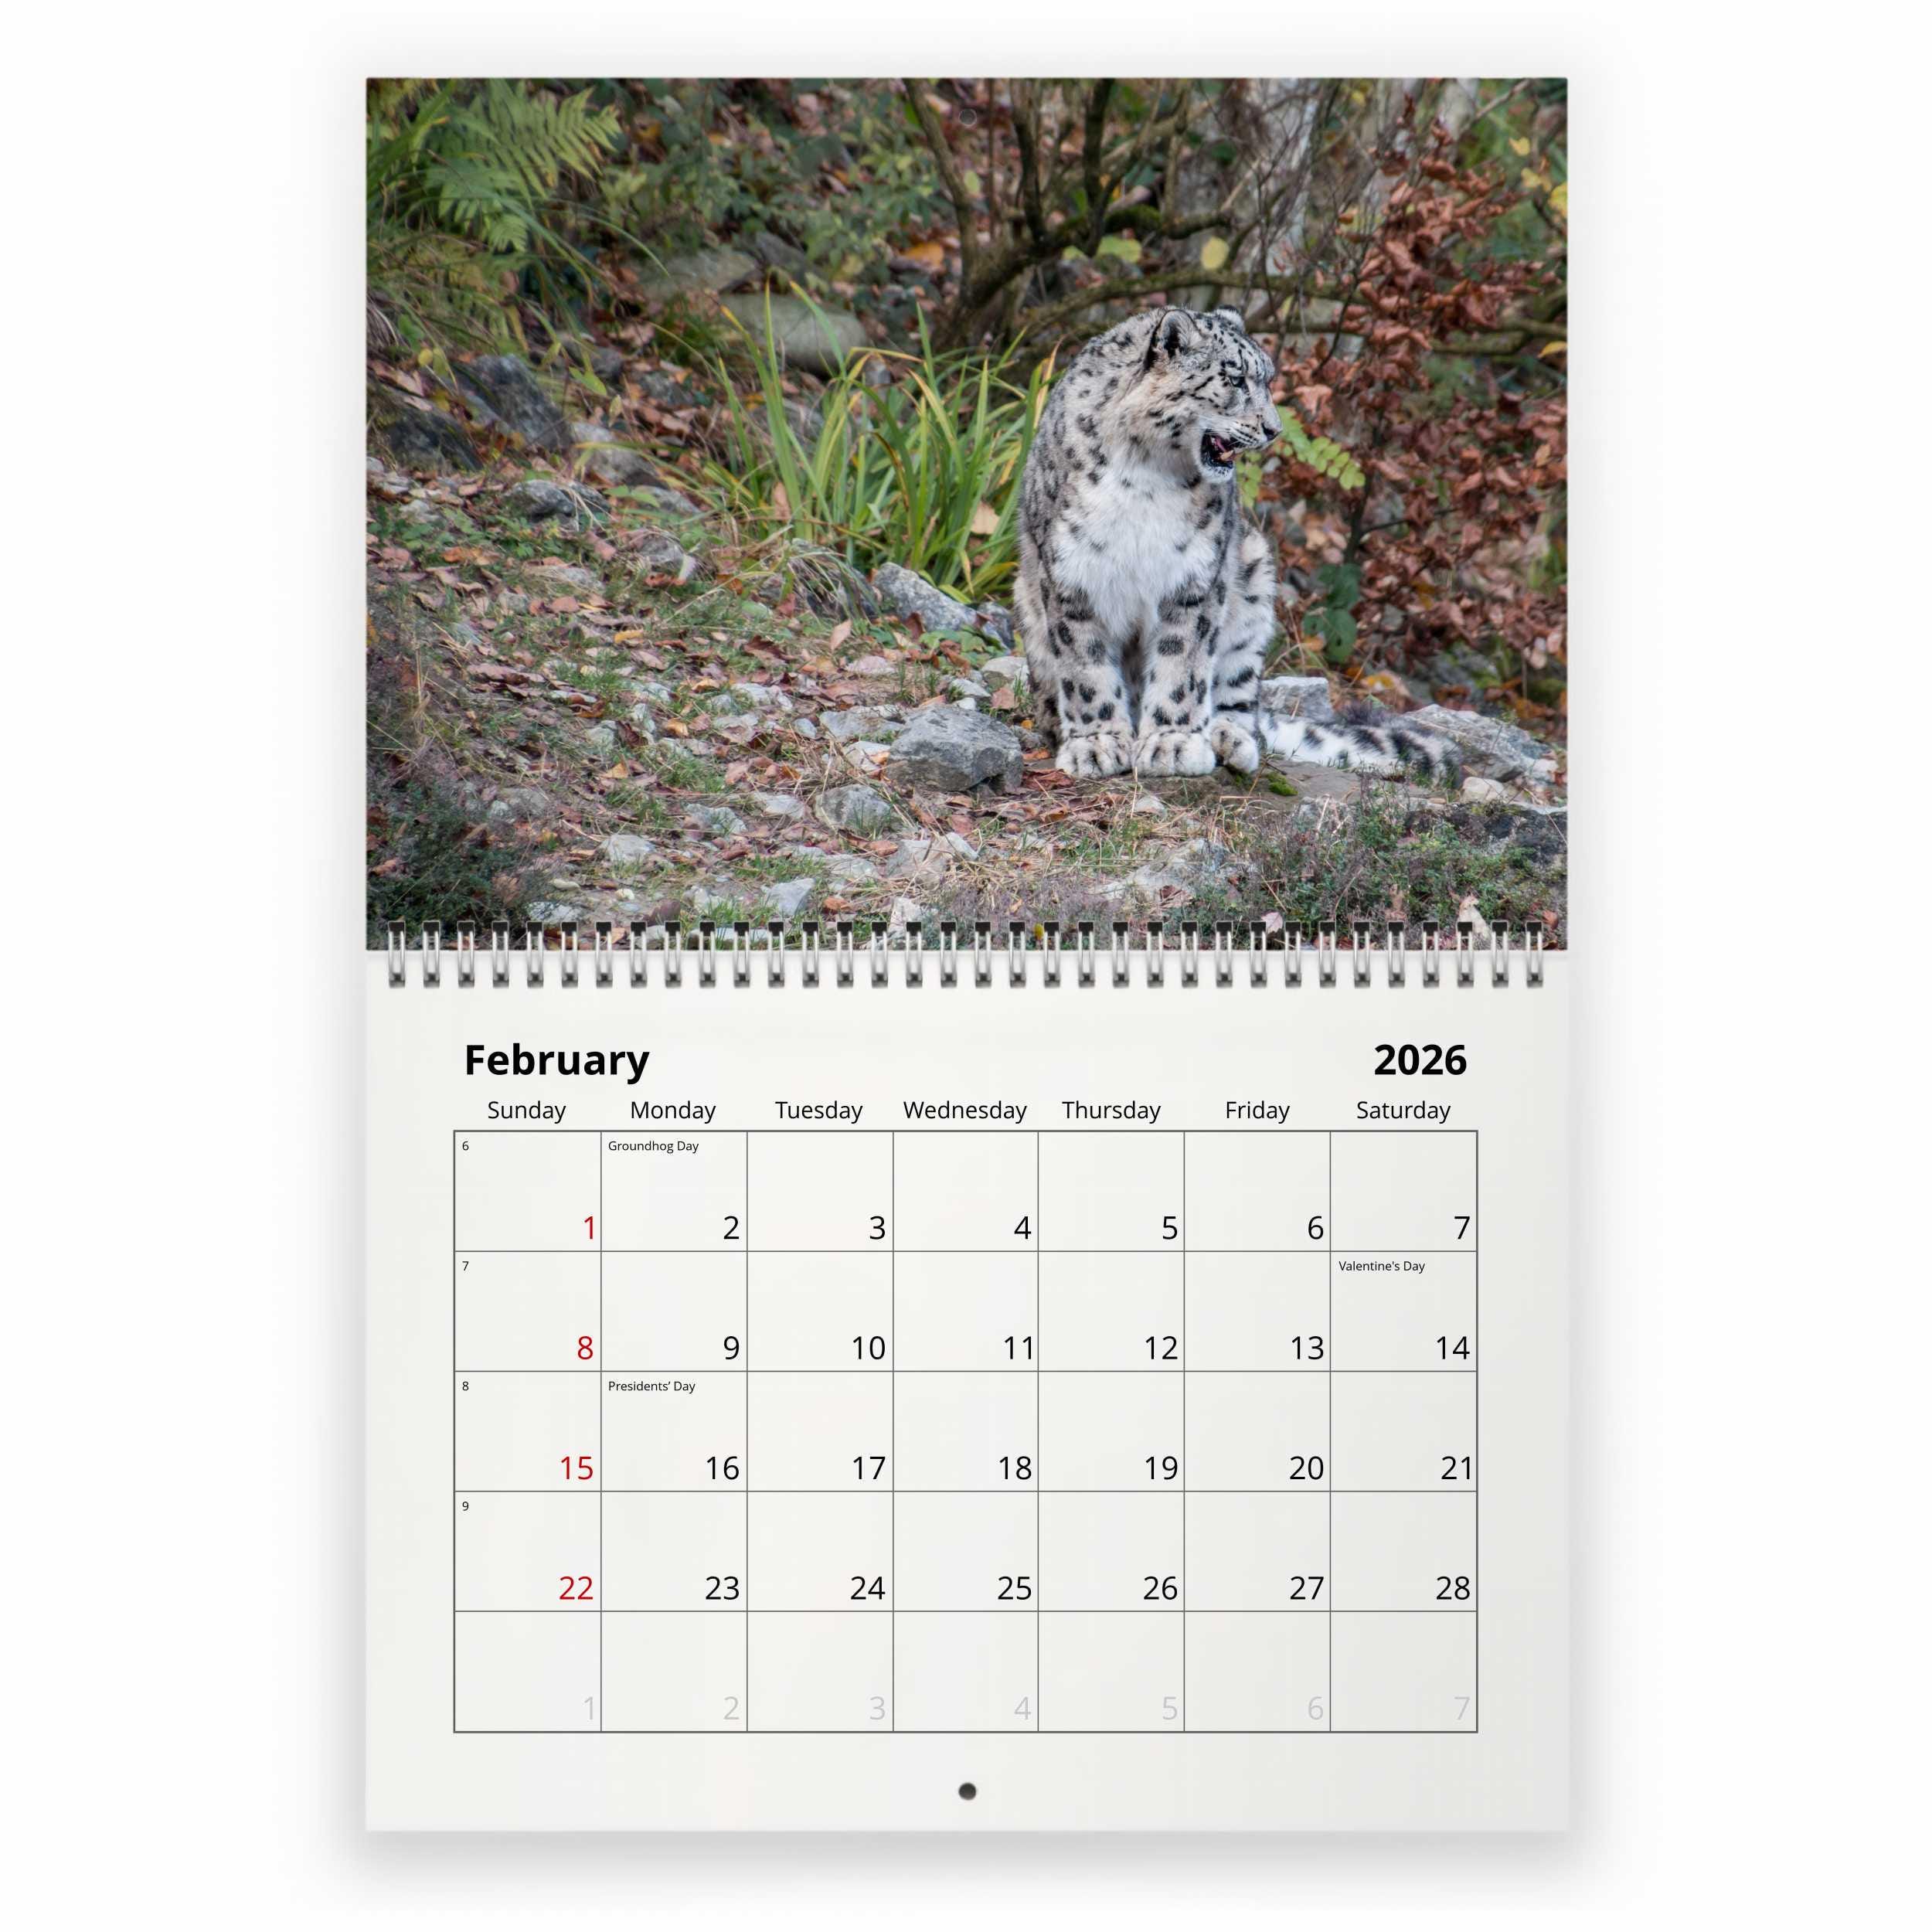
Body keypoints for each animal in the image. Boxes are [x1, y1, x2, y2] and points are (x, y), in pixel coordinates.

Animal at [1015, 304, 1452, 781]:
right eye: (1237, 379)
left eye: (1267, 380)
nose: (1274, 429)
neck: (1145, 472)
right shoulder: (1072, 574)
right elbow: (1085, 666)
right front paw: (1097, 745)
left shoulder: (1195, 575)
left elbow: (1183, 663)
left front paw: (1173, 744)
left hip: (1254, 582)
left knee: (1241, 697)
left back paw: (1229, 738)